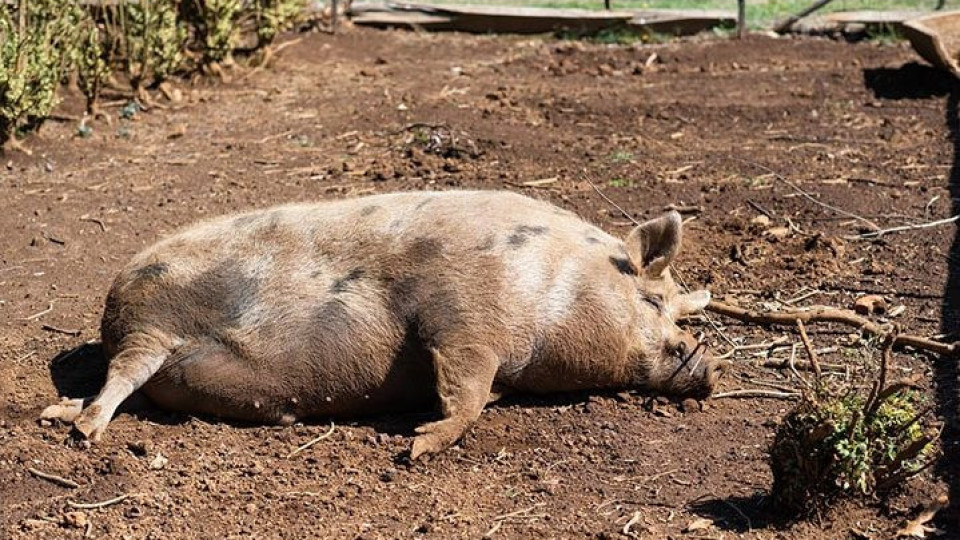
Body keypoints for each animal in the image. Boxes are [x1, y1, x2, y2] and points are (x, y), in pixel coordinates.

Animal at [45, 188, 720, 458]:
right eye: (653, 302)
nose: (706, 360)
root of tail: (112, 302)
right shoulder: (463, 314)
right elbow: (465, 391)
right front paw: (418, 446)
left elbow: (478, 393)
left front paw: (419, 437)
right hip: (150, 324)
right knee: (120, 378)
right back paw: (82, 431)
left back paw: (64, 415)